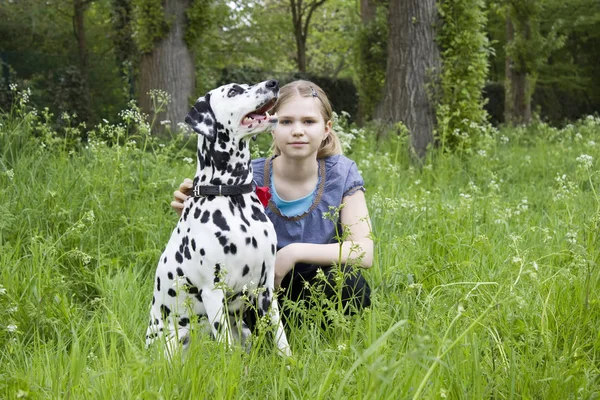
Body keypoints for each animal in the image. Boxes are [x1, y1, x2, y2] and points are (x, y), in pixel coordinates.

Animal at [148, 79, 292, 358]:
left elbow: (281, 338)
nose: (273, 83)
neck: (232, 196)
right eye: (234, 91)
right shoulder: (213, 292)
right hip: (174, 339)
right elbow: (226, 346)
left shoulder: (266, 289)